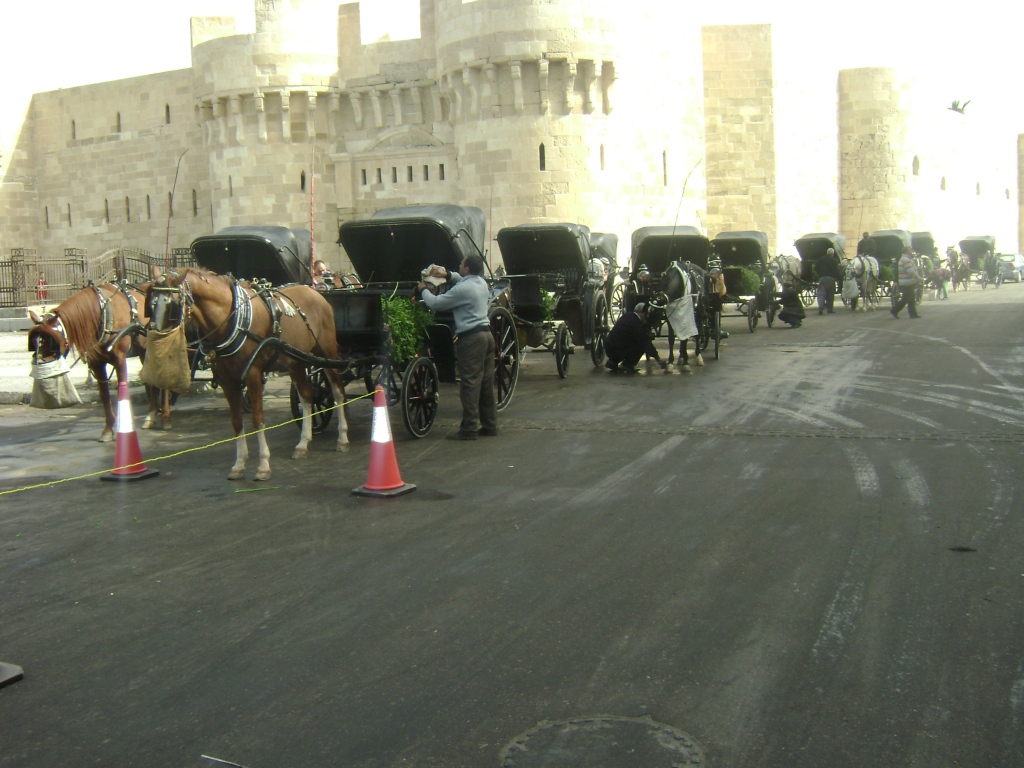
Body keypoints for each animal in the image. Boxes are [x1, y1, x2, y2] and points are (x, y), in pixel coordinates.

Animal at [28, 286, 169, 442]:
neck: (102, 314)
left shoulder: (120, 359)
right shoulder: (97, 363)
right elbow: (104, 395)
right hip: (144, 351)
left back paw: (165, 417)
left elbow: (121, 392)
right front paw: (108, 429)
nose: (40, 362)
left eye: (52, 341)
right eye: (34, 342)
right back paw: (151, 416)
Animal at [146, 268, 348, 479]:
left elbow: (257, 419)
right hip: (296, 362)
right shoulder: (227, 381)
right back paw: (303, 443)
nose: (154, 339)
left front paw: (263, 465)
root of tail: (316, 293)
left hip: (326, 354)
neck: (233, 320)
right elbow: (236, 422)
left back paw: (342, 438)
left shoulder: (253, 376)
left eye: (172, 304)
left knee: (338, 391)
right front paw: (239, 464)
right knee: (307, 396)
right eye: (151, 303)